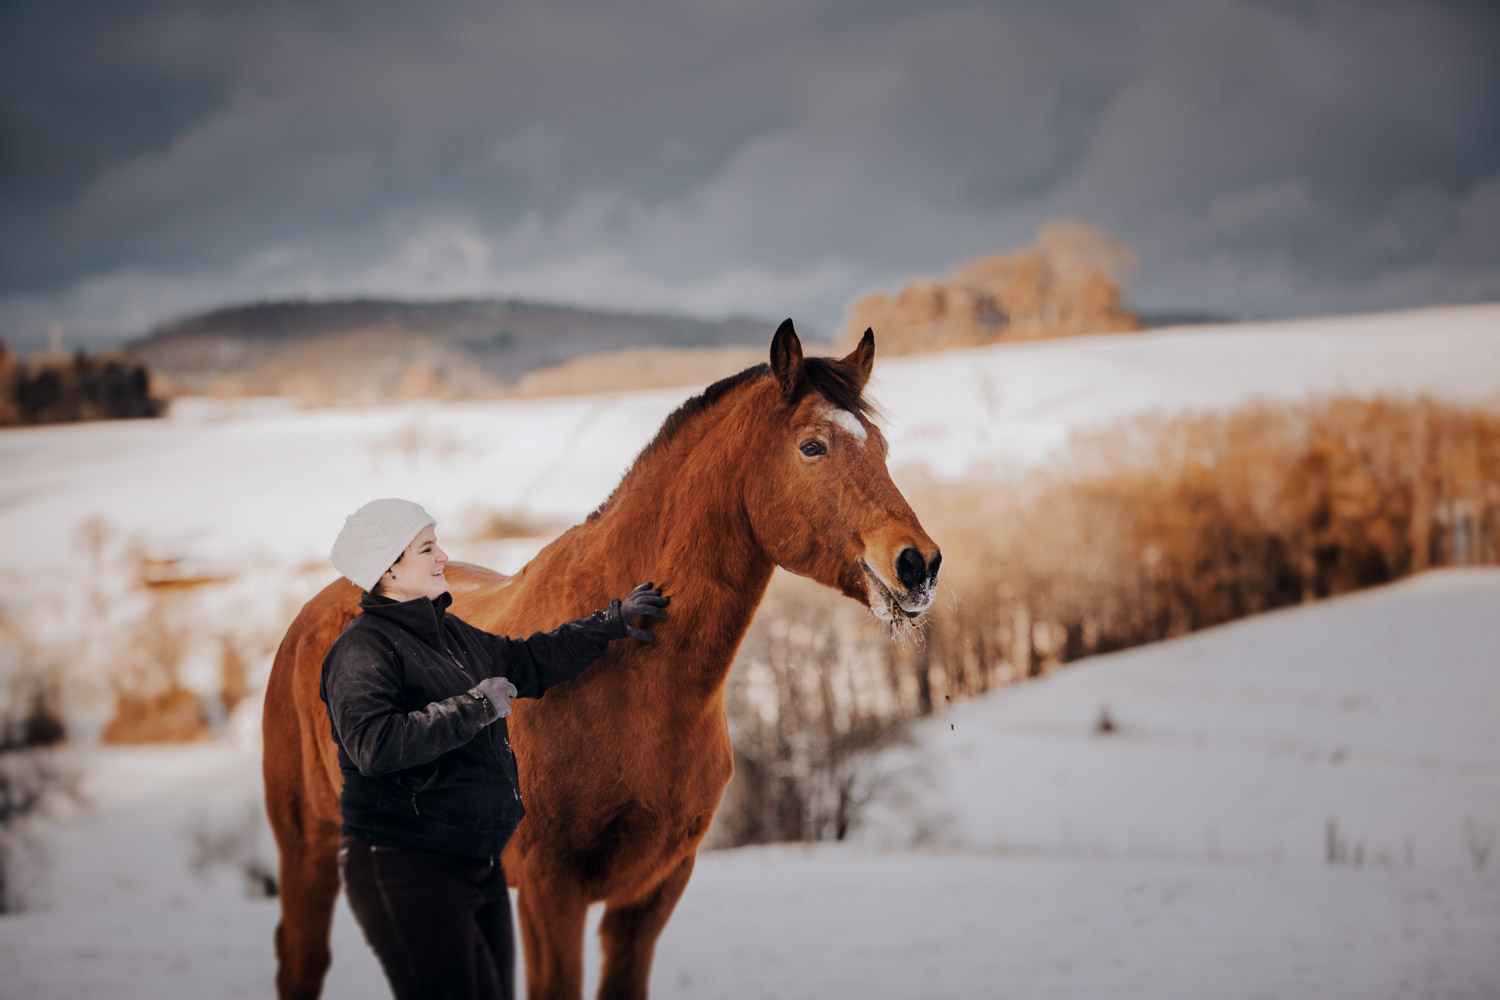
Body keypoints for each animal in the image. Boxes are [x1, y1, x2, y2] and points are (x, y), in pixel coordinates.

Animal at [258, 322, 936, 1000]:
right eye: (812, 446)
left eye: (879, 446)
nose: (919, 565)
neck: (636, 687)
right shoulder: (549, 891)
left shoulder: (652, 891)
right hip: (308, 849)